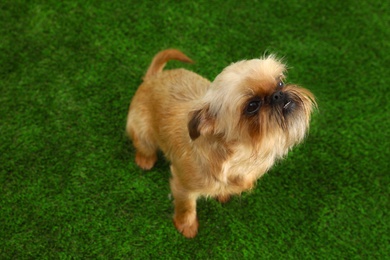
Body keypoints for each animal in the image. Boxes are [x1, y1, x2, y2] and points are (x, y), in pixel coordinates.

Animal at [126, 48, 316, 238]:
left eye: (280, 83)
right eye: (252, 106)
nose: (278, 94)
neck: (240, 155)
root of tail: (153, 77)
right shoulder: (182, 186)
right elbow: (186, 207)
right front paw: (186, 225)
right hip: (142, 130)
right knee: (144, 145)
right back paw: (145, 159)